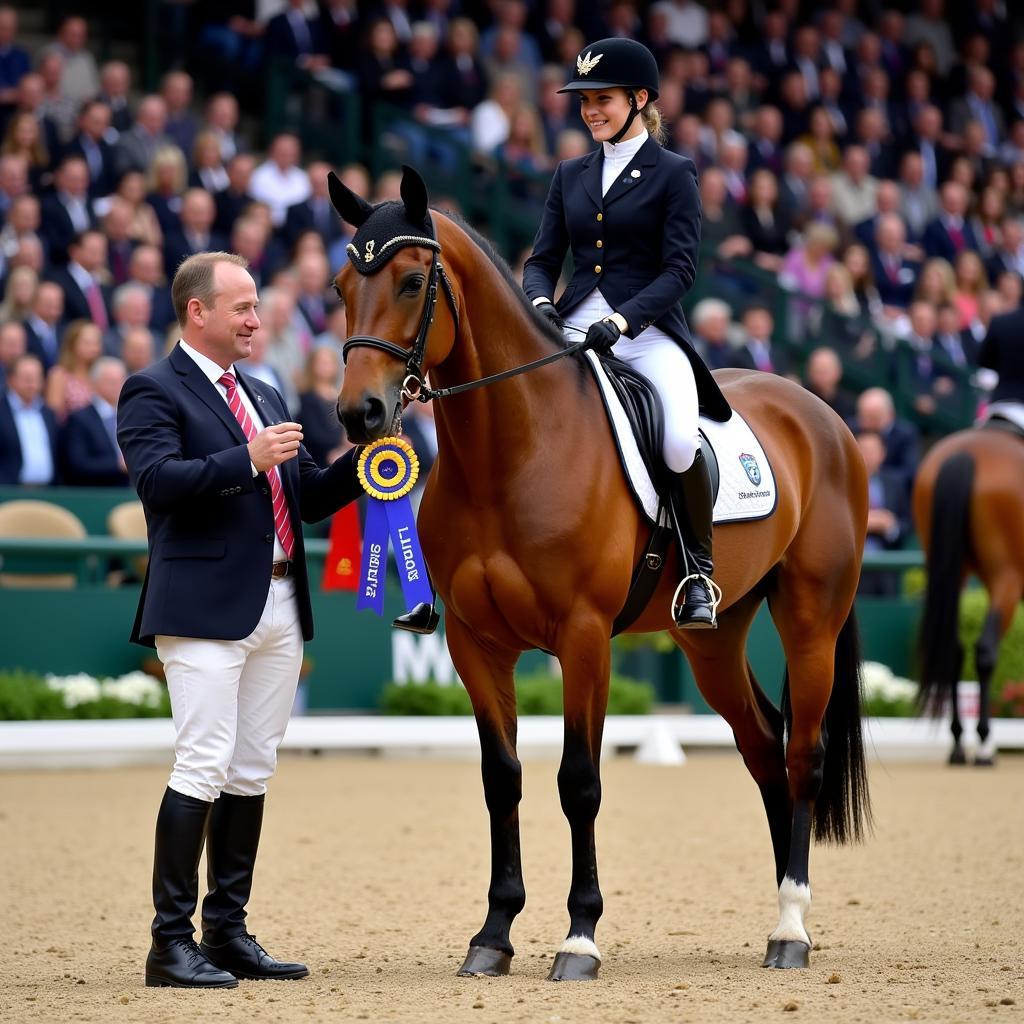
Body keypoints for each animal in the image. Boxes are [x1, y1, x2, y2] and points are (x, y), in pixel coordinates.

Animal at [329, 165, 872, 974]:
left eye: (411, 280)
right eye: (339, 286)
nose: (358, 415)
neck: (508, 454)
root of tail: (822, 414)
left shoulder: (582, 637)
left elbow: (578, 781)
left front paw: (579, 936)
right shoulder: (474, 643)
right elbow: (502, 781)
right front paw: (492, 936)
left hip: (811, 620)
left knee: (802, 751)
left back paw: (791, 930)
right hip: (712, 638)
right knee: (763, 747)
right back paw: (781, 911)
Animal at [913, 419, 1024, 765]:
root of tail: (964, 453)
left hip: (951, 570)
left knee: (953, 649)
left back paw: (959, 742)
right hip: (1007, 577)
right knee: (986, 649)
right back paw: (985, 743)